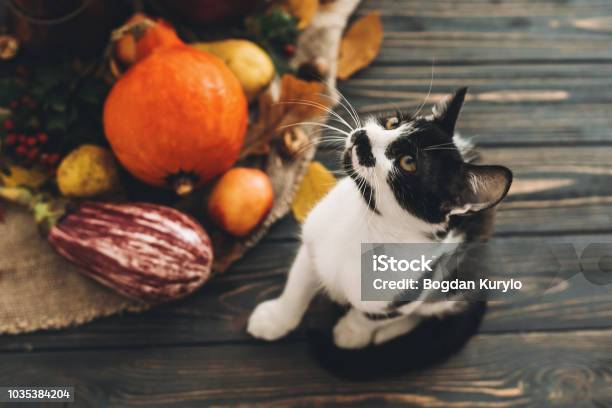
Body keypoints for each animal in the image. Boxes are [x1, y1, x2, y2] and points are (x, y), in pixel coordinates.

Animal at [246, 87, 510, 350]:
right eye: (393, 122)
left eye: (408, 162)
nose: (363, 136)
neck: (366, 222)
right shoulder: (316, 236)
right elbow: (298, 283)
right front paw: (276, 318)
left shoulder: (409, 288)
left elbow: (373, 316)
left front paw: (351, 332)